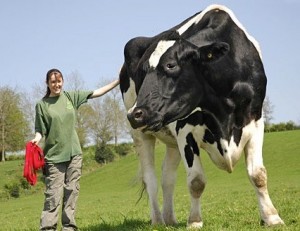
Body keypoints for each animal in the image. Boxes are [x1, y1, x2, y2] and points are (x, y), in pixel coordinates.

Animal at [119, 4, 284, 228]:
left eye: (171, 65)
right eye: (141, 72)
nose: (135, 114)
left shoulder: (255, 120)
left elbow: (258, 174)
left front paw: (271, 217)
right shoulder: (184, 130)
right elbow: (196, 181)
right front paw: (195, 221)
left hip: (171, 141)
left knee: (167, 177)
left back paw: (170, 219)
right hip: (141, 135)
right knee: (150, 179)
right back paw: (158, 221)